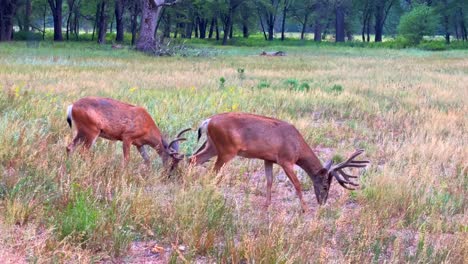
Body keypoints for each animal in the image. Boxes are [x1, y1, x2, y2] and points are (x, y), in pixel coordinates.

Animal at [189, 112, 370, 211]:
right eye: (325, 185)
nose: (323, 202)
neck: (297, 147)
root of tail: (207, 121)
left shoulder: (268, 158)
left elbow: (269, 181)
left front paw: (267, 205)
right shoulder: (286, 160)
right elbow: (297, 184)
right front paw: (305, 208)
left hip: (213, 146)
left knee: (193, 159)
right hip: (227, 150)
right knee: (212, 172)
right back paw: (211, 194)